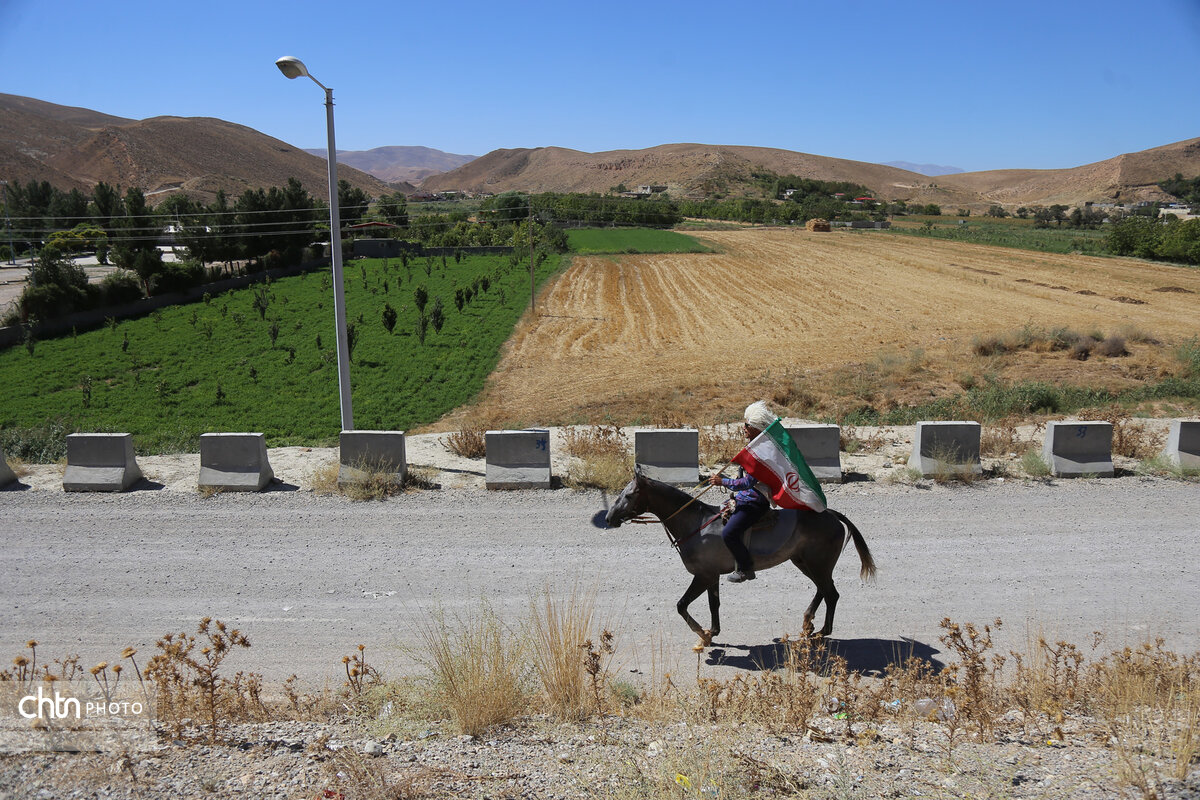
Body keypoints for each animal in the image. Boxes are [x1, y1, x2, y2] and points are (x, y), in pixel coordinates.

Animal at [609, 472, 873, 647]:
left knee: (831, 593)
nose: (610, 517)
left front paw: (702, 635)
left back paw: (820, 632)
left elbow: (682, 605)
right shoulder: (711, 576)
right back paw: (808, 623)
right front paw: (712, 632)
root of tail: (831, 515)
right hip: (804, 562)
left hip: (818, 564)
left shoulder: (703, 575)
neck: (695, 524)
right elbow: (713, 604)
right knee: (823, 590)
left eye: (629, 495)